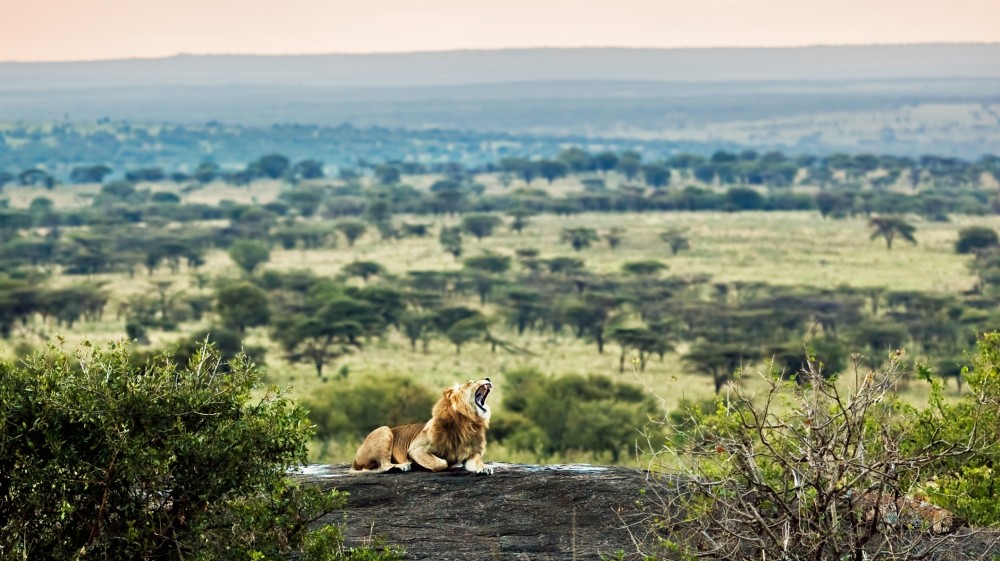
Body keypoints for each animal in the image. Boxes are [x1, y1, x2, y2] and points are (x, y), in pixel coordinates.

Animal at [350, 376, 494, 472]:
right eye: (471, 382)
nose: (487, 378)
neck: (467, 422)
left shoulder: (470, 454)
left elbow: (477, 461)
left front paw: (484, 468)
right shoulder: (416, 449)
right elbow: (440, 463)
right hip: (384, 430)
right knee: (383, 466)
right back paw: (403, 466)